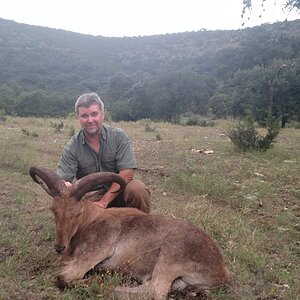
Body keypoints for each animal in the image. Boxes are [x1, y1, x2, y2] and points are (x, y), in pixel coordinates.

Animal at [29, 165, 231, 298]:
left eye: (77, 213)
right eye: (54, 210)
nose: (59, 247)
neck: (91, 220)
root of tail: (222, 270)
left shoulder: (98, 250)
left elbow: (63, 276)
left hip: (170, 257)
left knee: (153, 291)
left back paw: (102, 285)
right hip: (179, 279)